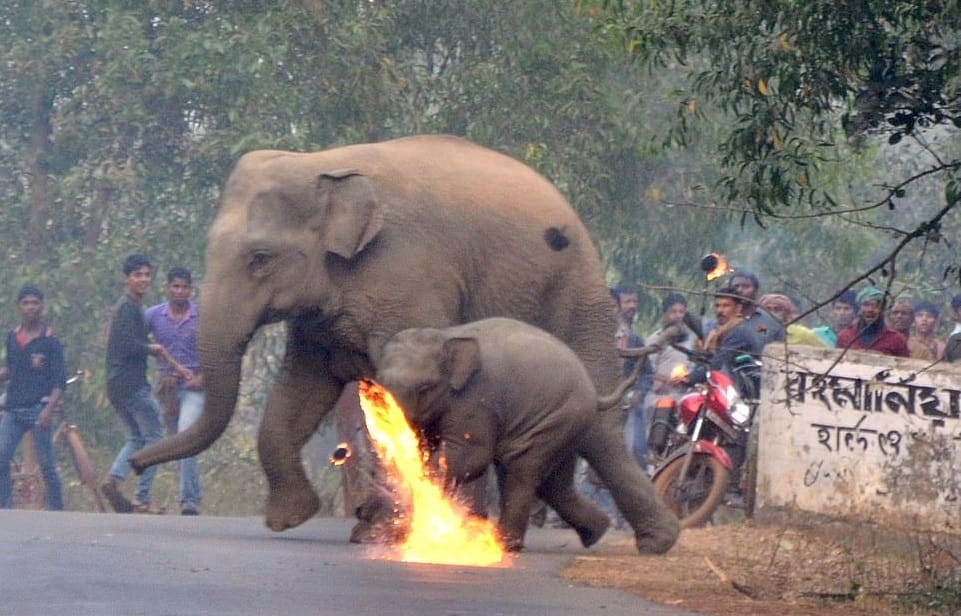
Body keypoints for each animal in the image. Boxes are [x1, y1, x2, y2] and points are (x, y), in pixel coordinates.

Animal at [372, 317, 655, 551]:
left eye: (425, 387)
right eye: (378, 385)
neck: (446, 335)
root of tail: (592, 389)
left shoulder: (475, 400)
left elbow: (471, 456)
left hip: (556, 419)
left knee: (524, 470)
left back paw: (506, 544)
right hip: (564, 425)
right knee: (555, 484)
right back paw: (598, 532)